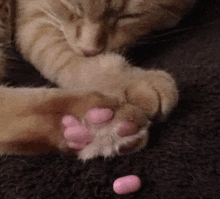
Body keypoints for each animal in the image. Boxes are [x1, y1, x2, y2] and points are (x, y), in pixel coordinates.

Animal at [0, 0, 196, 159]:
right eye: (73, 8)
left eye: (128, 16)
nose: (90, 50)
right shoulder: (33, 15)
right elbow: (57, 51)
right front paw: (129, 80)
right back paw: (97, 122)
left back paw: (84, 129)